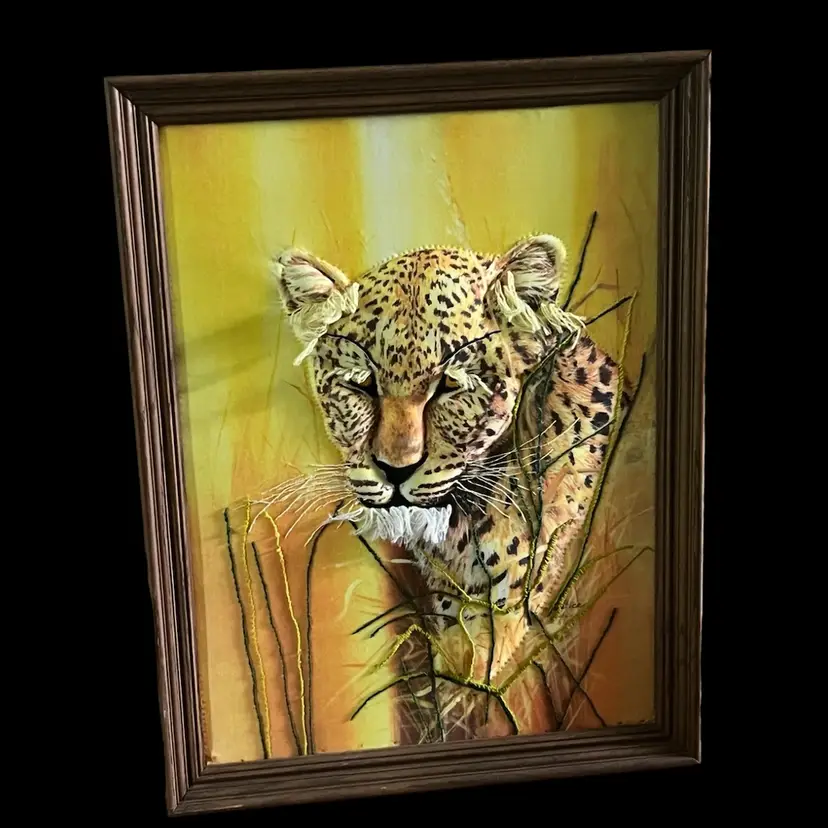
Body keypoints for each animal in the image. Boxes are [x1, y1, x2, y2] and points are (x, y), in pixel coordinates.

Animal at [271, 234, 633, 743]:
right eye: (360, 386)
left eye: (450, 385)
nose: (394, 471)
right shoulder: (450, 597)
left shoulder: (517, 591)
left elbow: (486, 666)